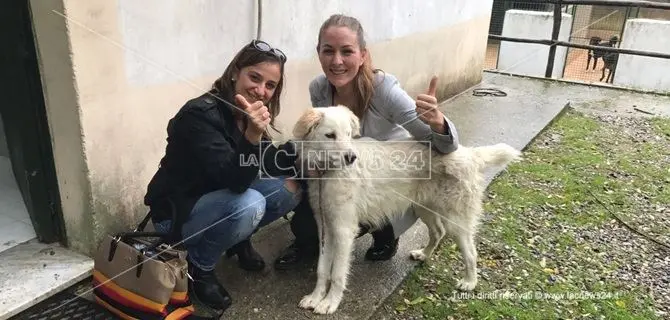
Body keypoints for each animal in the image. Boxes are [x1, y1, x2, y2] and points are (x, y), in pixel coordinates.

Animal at [294, 105, 524, 316]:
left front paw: (330, 303)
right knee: (438, 232)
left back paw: (469, 282)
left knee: (471, 252)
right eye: (330, 135)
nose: (351, 157)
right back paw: (423, 254)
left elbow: (337, 274)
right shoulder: (325, 227)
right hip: (425, 208)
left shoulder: (344, 230)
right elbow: (322, 269)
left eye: (349, 134)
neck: (327, 173)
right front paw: (315, 297)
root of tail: (468, 153)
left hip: (455, 220)